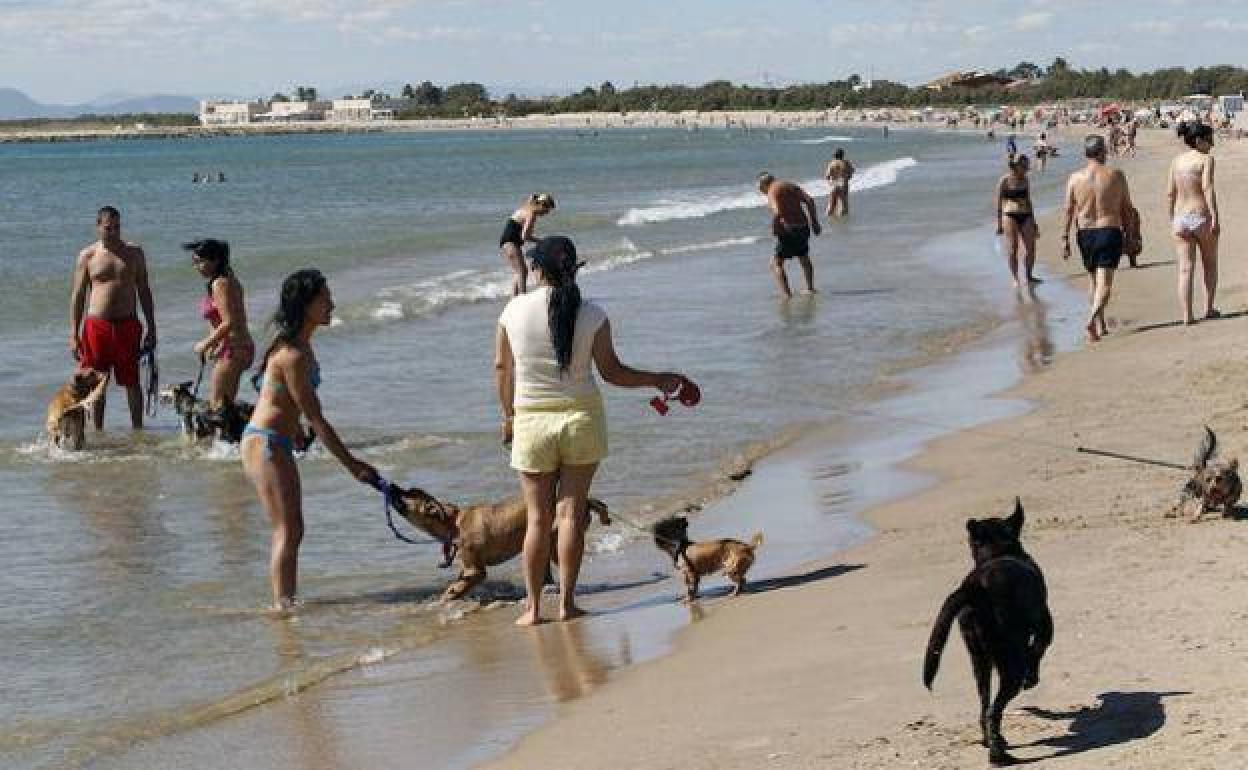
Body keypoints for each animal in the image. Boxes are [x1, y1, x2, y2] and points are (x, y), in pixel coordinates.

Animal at [384, 486, 609, 601]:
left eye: (408, 493)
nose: (391, 486)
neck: (453, 522)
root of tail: (586, 500)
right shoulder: (468, 568)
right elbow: (459, 583)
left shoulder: (476, 570)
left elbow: (454, 589)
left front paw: (446, 599)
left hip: (554, 541)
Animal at [928, 499, 1053, 763]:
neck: (998, 552)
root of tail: (976, 588)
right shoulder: (1045, 627)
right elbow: (1037, 651)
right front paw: (1032, 678)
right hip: (1009, 664)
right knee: (993, 710)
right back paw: (998, 754)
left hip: (979, 660)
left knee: (984, 705)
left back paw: (991, 742)